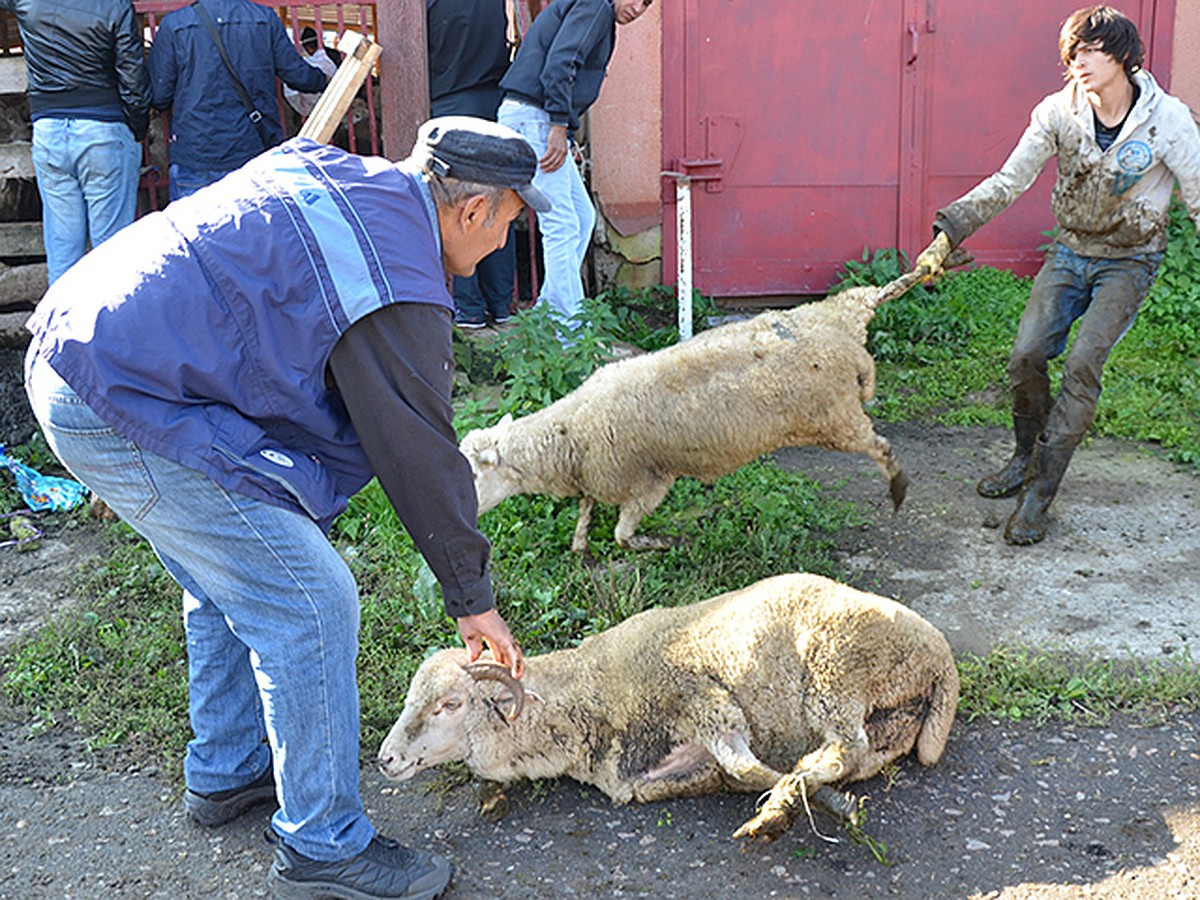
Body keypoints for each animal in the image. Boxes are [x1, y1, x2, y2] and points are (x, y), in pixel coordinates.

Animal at [379, 573, 960, 844]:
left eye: (450, 704)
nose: (385, 759)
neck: (590, 689)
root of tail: (941, 659)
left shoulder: (699, 695)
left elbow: (747, 765)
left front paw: (794, 802)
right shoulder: (646, 778)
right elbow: (738, 773)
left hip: (834, 673)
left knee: (843, 749)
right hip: (886, 718)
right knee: (850, 755)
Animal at [458, 254, 945, 554]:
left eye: (474, 477)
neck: (570, 435)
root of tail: (846, 332)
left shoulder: (648, 485)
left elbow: (622, 536)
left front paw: (663, 544)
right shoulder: (597, 478)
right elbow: (586, 511)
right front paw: (580, 547)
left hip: (837, 417)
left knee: (879, 447)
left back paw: (898, 485)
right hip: (838, 344)